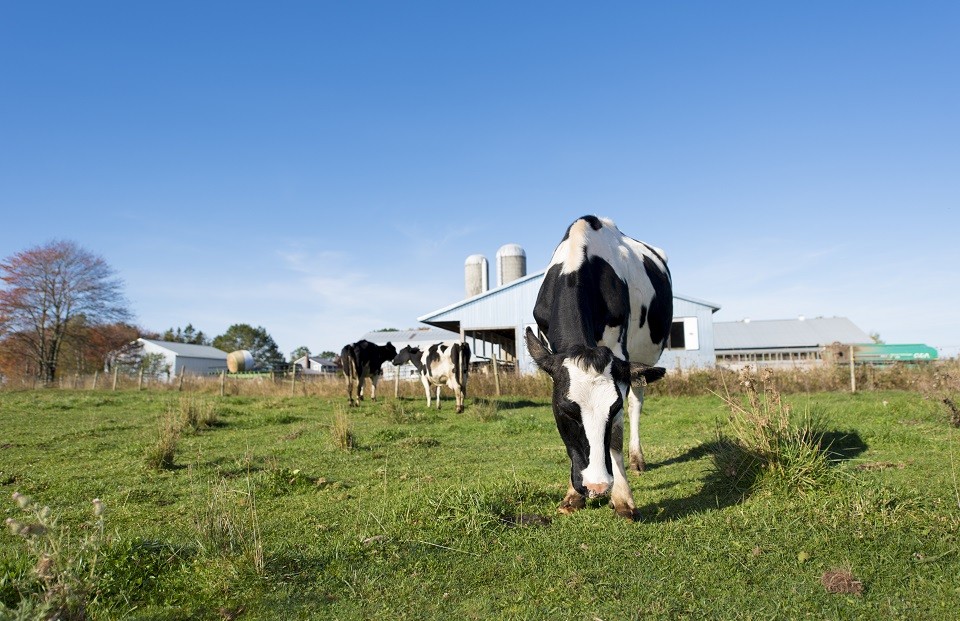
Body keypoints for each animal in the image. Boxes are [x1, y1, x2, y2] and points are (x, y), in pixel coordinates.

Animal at [524, 215, 672, 519]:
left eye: (613, 409)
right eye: (566, 411)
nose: (597, 486)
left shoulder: (619, 356)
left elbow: (615, 435)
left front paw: (623, 499)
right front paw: (572, 495)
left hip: (643, 358)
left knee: (637, 402)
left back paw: (637, 459)